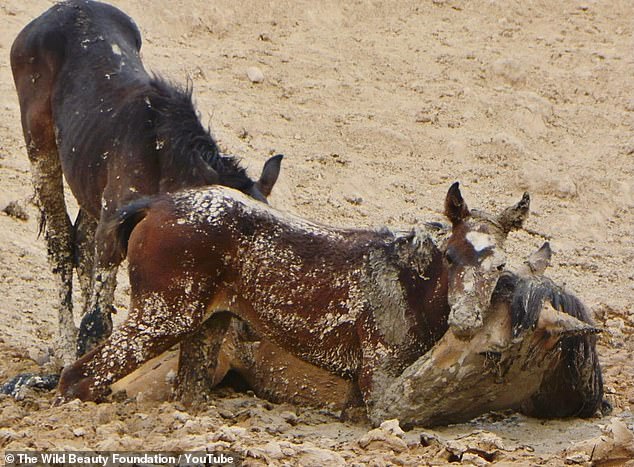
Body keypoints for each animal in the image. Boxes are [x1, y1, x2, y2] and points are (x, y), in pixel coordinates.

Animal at [9, 0, 282, 366]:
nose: (251, 329)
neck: (164, 159)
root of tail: (57, 11)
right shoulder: (112, 233)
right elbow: (97, 322)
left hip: (88, 185)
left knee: (81, 241)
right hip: (40, 149)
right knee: (60, 242)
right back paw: (65, 352)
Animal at [55, 182, 532, 420]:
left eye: (500, 266)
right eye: (451, 256)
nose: (466, 320)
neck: (411, 282)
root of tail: (154, 205)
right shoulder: (378, 379)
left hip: (204, 327)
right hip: (163, 316)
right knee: (78, 377)